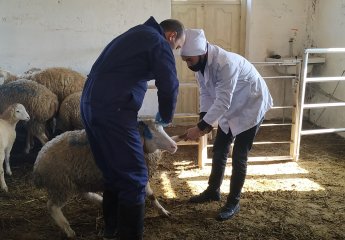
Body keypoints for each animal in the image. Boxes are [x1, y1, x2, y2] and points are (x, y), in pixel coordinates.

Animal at [32, 120, 179, 238]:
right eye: (151, 133)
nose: (174, 146)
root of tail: (38, 162)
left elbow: (152, 195)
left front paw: (163, 211)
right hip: (60, 184)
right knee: (52, 207)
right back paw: (68, 229)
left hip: (76, 180)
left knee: (84, 194)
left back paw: (100, 200)